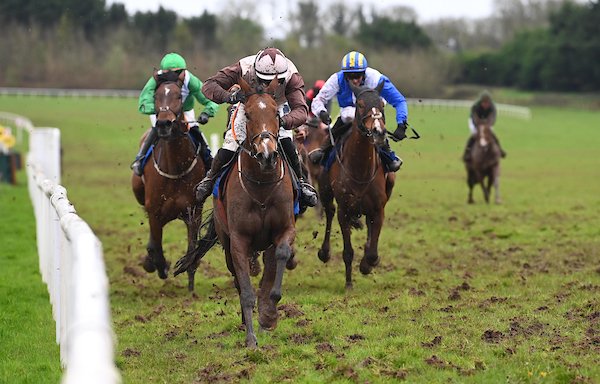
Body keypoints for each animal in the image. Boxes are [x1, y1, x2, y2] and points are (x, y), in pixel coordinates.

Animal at [131, 70, 206, 290]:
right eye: (156, 96)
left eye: (179, 96)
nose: (164, 124)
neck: (175, 168)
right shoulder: (155, 212)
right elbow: (156, 247)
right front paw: (158, 265)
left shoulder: (193, 212)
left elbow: (191, 250)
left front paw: (191, 288)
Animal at [176, 76, 296, 348]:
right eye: (248, 114)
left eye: (276, 113)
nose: (267, 154)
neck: (262, 186)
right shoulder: (239, 241)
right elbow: (246, 290)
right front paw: (251, 338)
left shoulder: (284, 229)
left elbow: (280, 260)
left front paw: (269, 315)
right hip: (228, 241)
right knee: (239, 280)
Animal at [316, 82, 396, 290]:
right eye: (360, 104)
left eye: (382, 104)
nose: (378, 132)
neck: (360, 169)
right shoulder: (344, 211)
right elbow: (348, 251)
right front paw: (349, 283)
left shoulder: (378, 209)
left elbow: (373, 252)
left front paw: (367, 265)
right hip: (325, 190)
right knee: (329, 212)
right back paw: (324, 252)